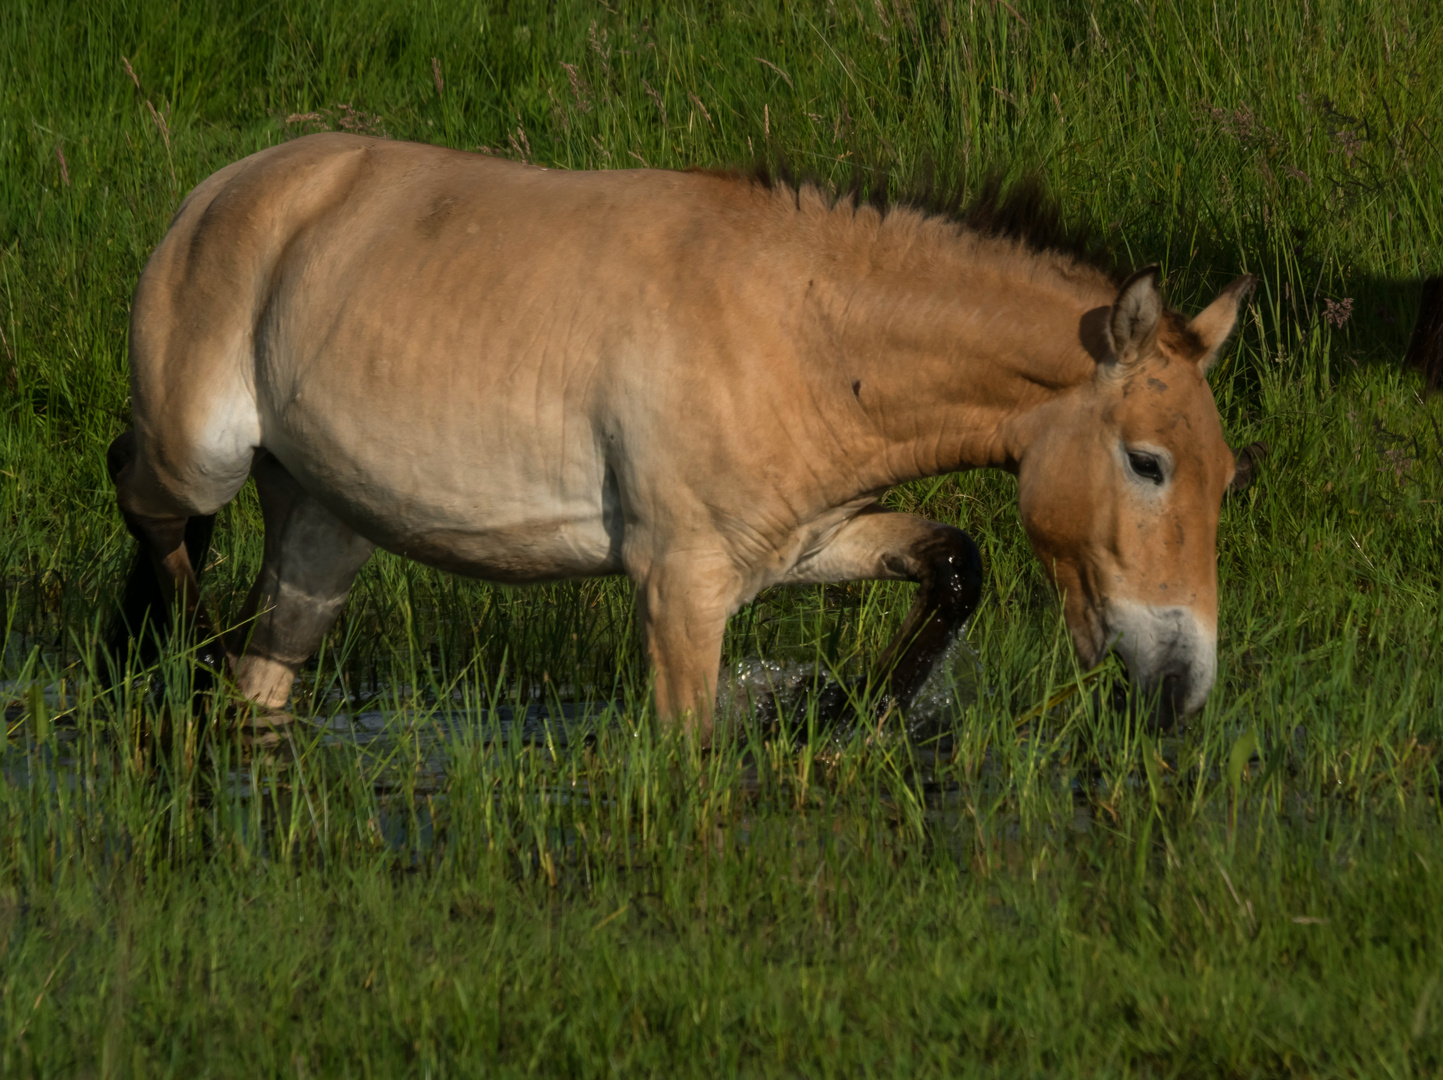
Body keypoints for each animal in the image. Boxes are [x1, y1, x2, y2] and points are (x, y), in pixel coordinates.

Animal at [104, 132, 1252, 745]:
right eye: (1147, 464)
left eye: (1228, 480)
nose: (1183, 687)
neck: (799, 330)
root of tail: (230, 187)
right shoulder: (679, 587)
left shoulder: (799, 547)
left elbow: (954, 565)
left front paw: (835, 713)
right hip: (203, 457)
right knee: (145, 500)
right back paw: (169, 655)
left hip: (321, 525)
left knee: (265, 672)